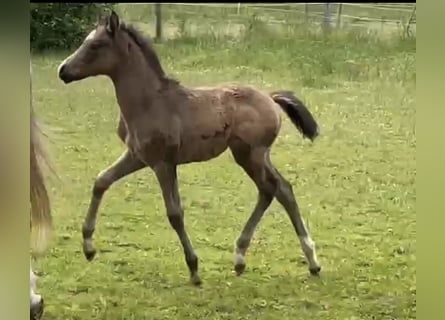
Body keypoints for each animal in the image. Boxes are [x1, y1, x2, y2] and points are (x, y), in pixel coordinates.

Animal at [57, 11, 320, 284]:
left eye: (96, 45)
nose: (63, 70)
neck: (149, 102)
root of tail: (270, 97)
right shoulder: (137, 156)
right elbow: (101, 181)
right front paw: (88, 247)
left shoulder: (163, 163)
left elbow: (174, 213)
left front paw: (194, 268)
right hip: (256, 155)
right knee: (281, 189)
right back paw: (299, 260)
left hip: (250, 154)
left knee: (271, 189)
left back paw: (251, 256)